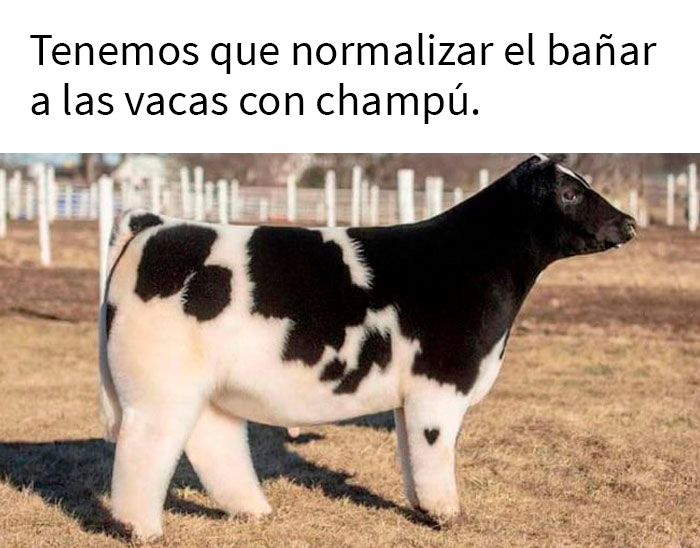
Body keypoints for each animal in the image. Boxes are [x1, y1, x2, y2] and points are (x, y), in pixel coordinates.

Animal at [98, 155, 636, 541]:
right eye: (570, 192)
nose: (629, 223)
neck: (468, 262)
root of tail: (156, 224)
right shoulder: (440, 384)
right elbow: (435, 452)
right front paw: (447, 515)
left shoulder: (411, 396)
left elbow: (411, 454)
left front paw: (422, 508)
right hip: (159, 387)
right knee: (146, 449)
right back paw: (141, 529)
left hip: (206, 387)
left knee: (214, 441)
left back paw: (253, 511)